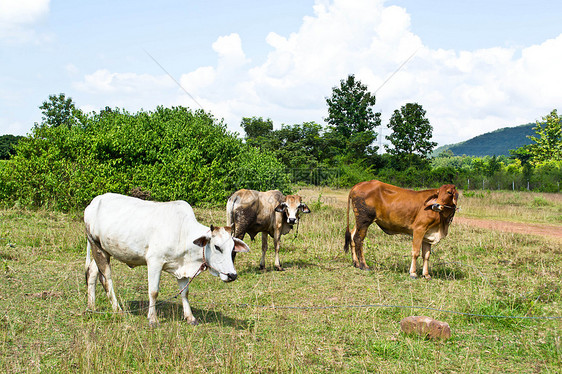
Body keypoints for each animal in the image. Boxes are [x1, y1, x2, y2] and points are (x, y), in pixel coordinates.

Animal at [84, 194, 248, 326]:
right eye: (217, 247)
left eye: (232, 249)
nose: (232, 275)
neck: (183, 233)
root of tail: (94, 202)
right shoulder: (154, 262)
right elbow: (153, 292)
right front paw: (153, 319)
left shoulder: (182, 268)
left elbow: (184, 292)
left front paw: (190, 317)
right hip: (97, 247)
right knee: (106, 278)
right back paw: (117, 309)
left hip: (104, 250)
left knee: (92, 272)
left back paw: (92, 306)